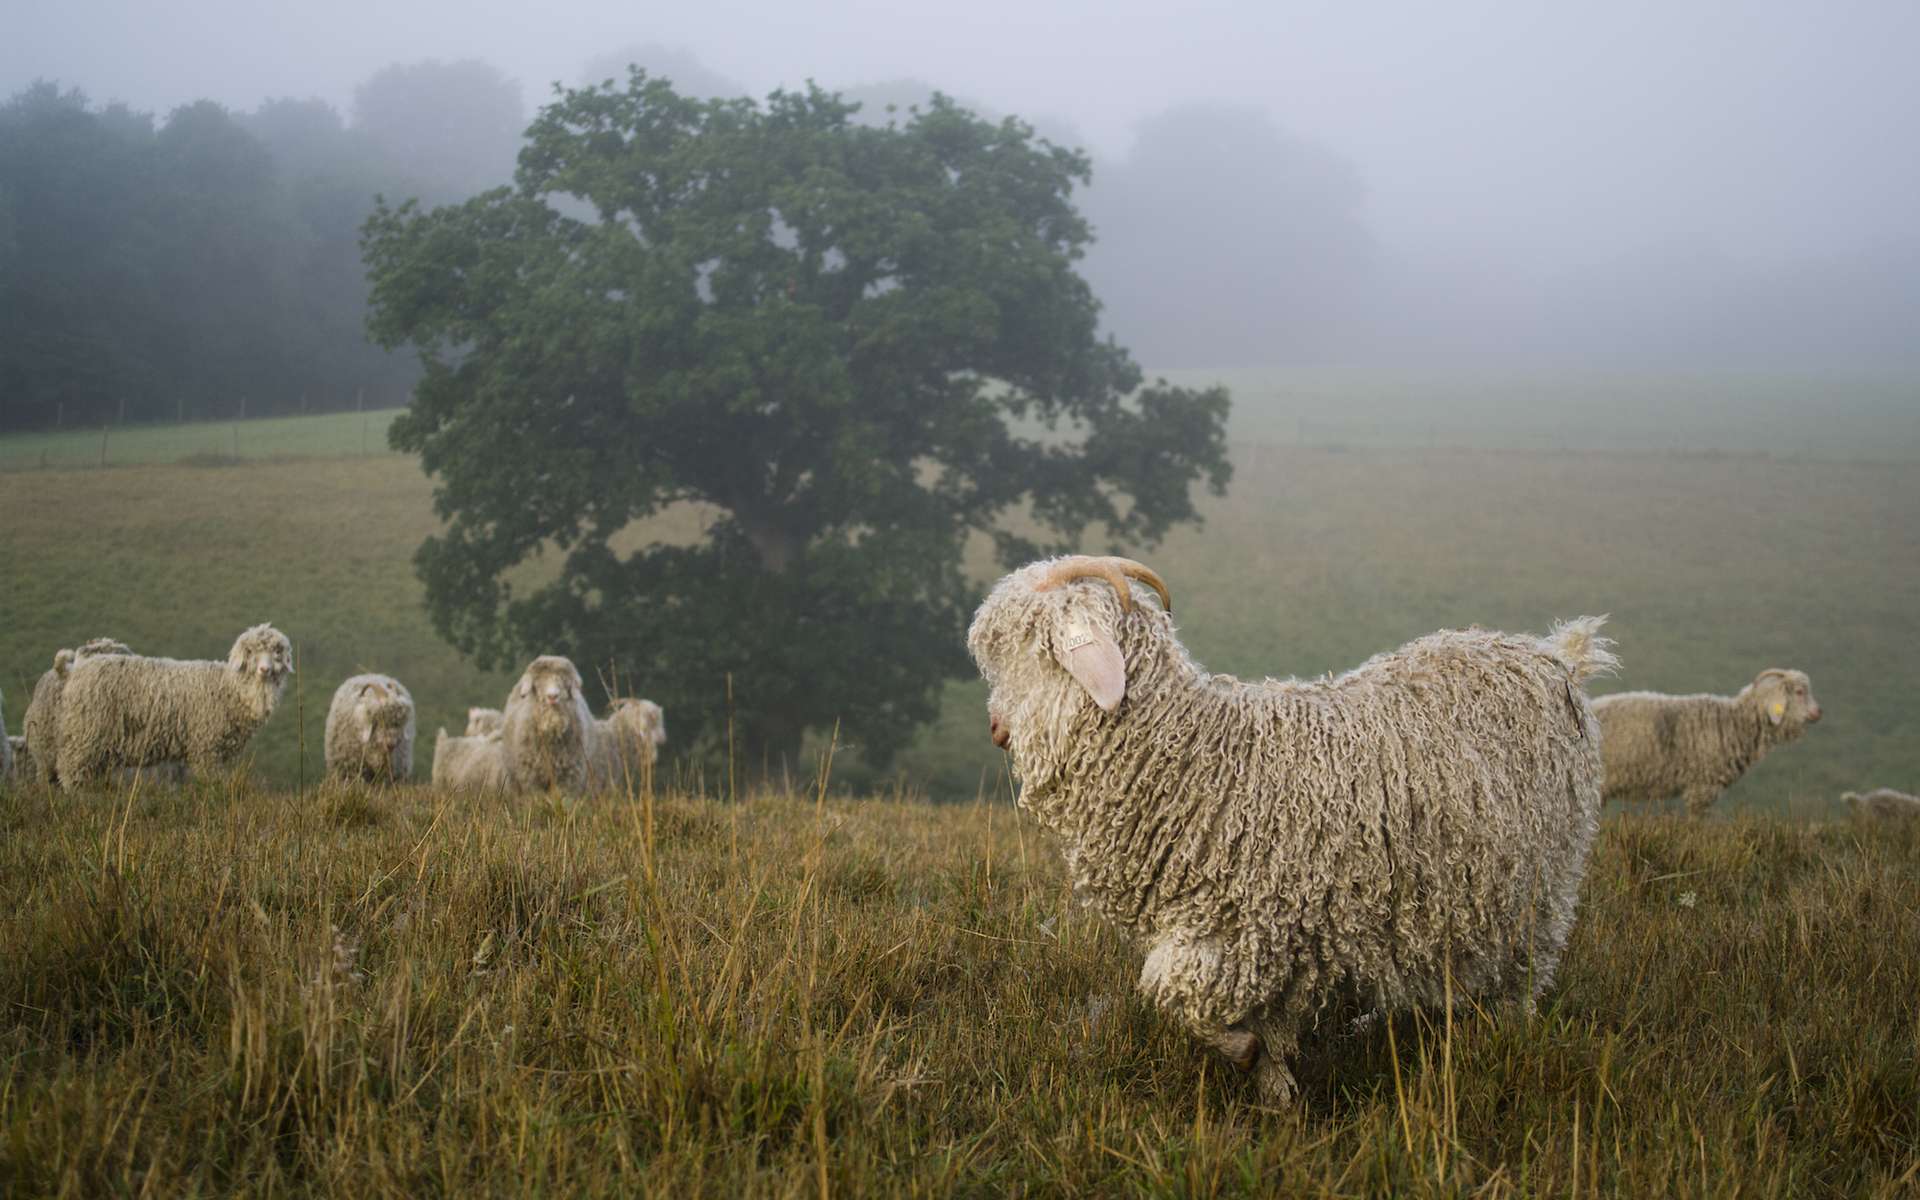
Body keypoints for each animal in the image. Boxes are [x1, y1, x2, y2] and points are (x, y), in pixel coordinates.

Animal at [54, 625, 291, 787]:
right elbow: (210, 781)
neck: (229, 688)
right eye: (251, 652)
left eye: (276, 652)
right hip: (86, 732)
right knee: (70, 768)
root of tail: (76, 670)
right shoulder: (207, 746)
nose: (264, 669)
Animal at [967, 556, 1612, 1098]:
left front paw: (1244, 1053)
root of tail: (1555, 654)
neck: (1194, 758)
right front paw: (1276, 1094)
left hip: (1543, 884)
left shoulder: (1247, 930)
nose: (995, 728)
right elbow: (1224, 1015)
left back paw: (1509, 1036)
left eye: (1023, 645)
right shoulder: (1253, 939)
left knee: (1526, 973)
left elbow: (1169, 994)